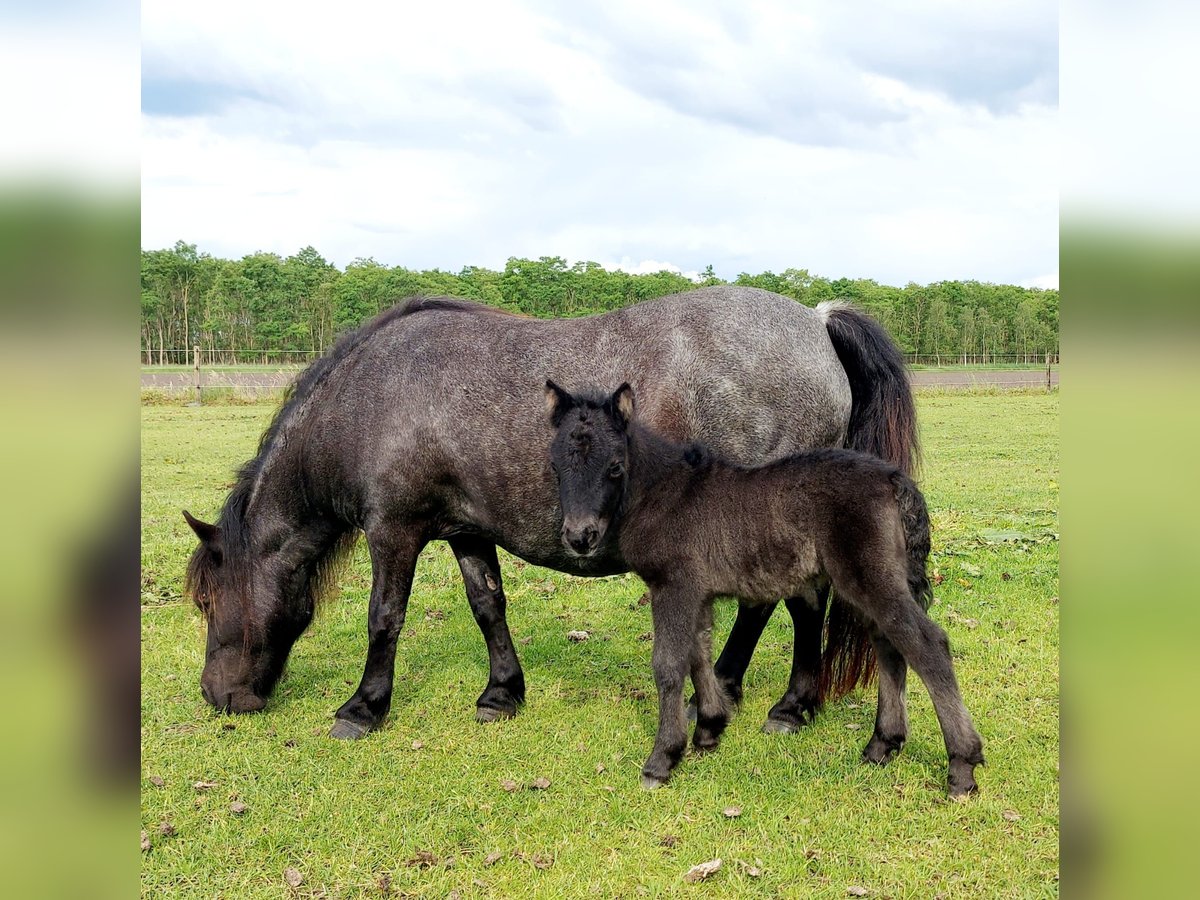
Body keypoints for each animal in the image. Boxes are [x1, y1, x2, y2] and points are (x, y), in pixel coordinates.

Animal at [544, 381, 984, 796]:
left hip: (868, 577)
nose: (580, 537)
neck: (664, 493)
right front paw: (710, 728)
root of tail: (894, 479)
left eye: (615, 467)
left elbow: (669, 665)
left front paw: (663, 758)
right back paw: (882, 745)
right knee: (889, 642)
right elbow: (699, 652)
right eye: (555, 466)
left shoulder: (673, 585)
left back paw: (961, 766)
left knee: (926, 644)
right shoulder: (698, 592)